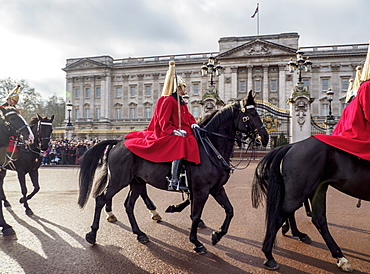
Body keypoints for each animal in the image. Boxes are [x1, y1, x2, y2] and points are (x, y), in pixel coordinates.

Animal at [79, 91, 268, 253]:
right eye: (252, 114)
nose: (265, 138)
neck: (210, 148)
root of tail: (118, 142)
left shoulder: (216, 189)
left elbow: (229, 210)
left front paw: (217, 235)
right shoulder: (201, 190)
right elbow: (195, 215)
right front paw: (196, 242)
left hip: (137, 182)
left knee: (128, 205)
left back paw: (140, 233)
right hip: (119, 180)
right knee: (101, 199)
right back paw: (92, 234)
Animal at [250, 136, 368, 272]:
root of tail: (292, 145)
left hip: (316, 188)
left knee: (317, 219)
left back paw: (339, 257)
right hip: (300, 190)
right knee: (281, 215)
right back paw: (269, 255)